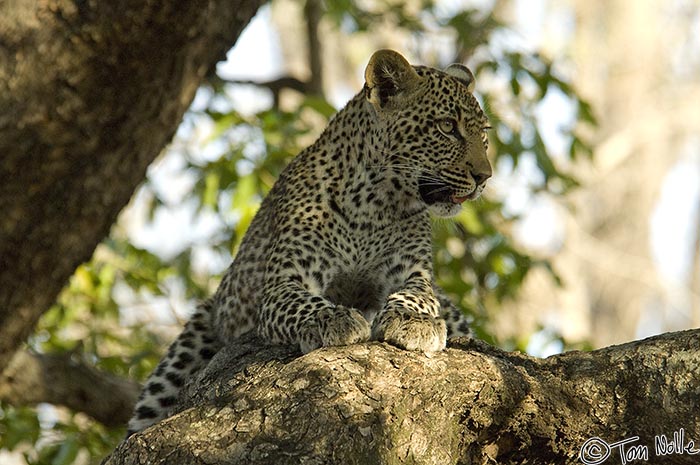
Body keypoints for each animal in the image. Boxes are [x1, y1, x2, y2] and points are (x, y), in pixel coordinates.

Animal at [129, 49, 494, 436]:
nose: (484, 177)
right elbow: (305, 302)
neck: (376, 204)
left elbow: (418, 296)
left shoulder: (414, 274)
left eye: (483, 133)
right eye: (447, 127)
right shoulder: (283, 281)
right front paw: (333, 318)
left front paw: (414, 320)